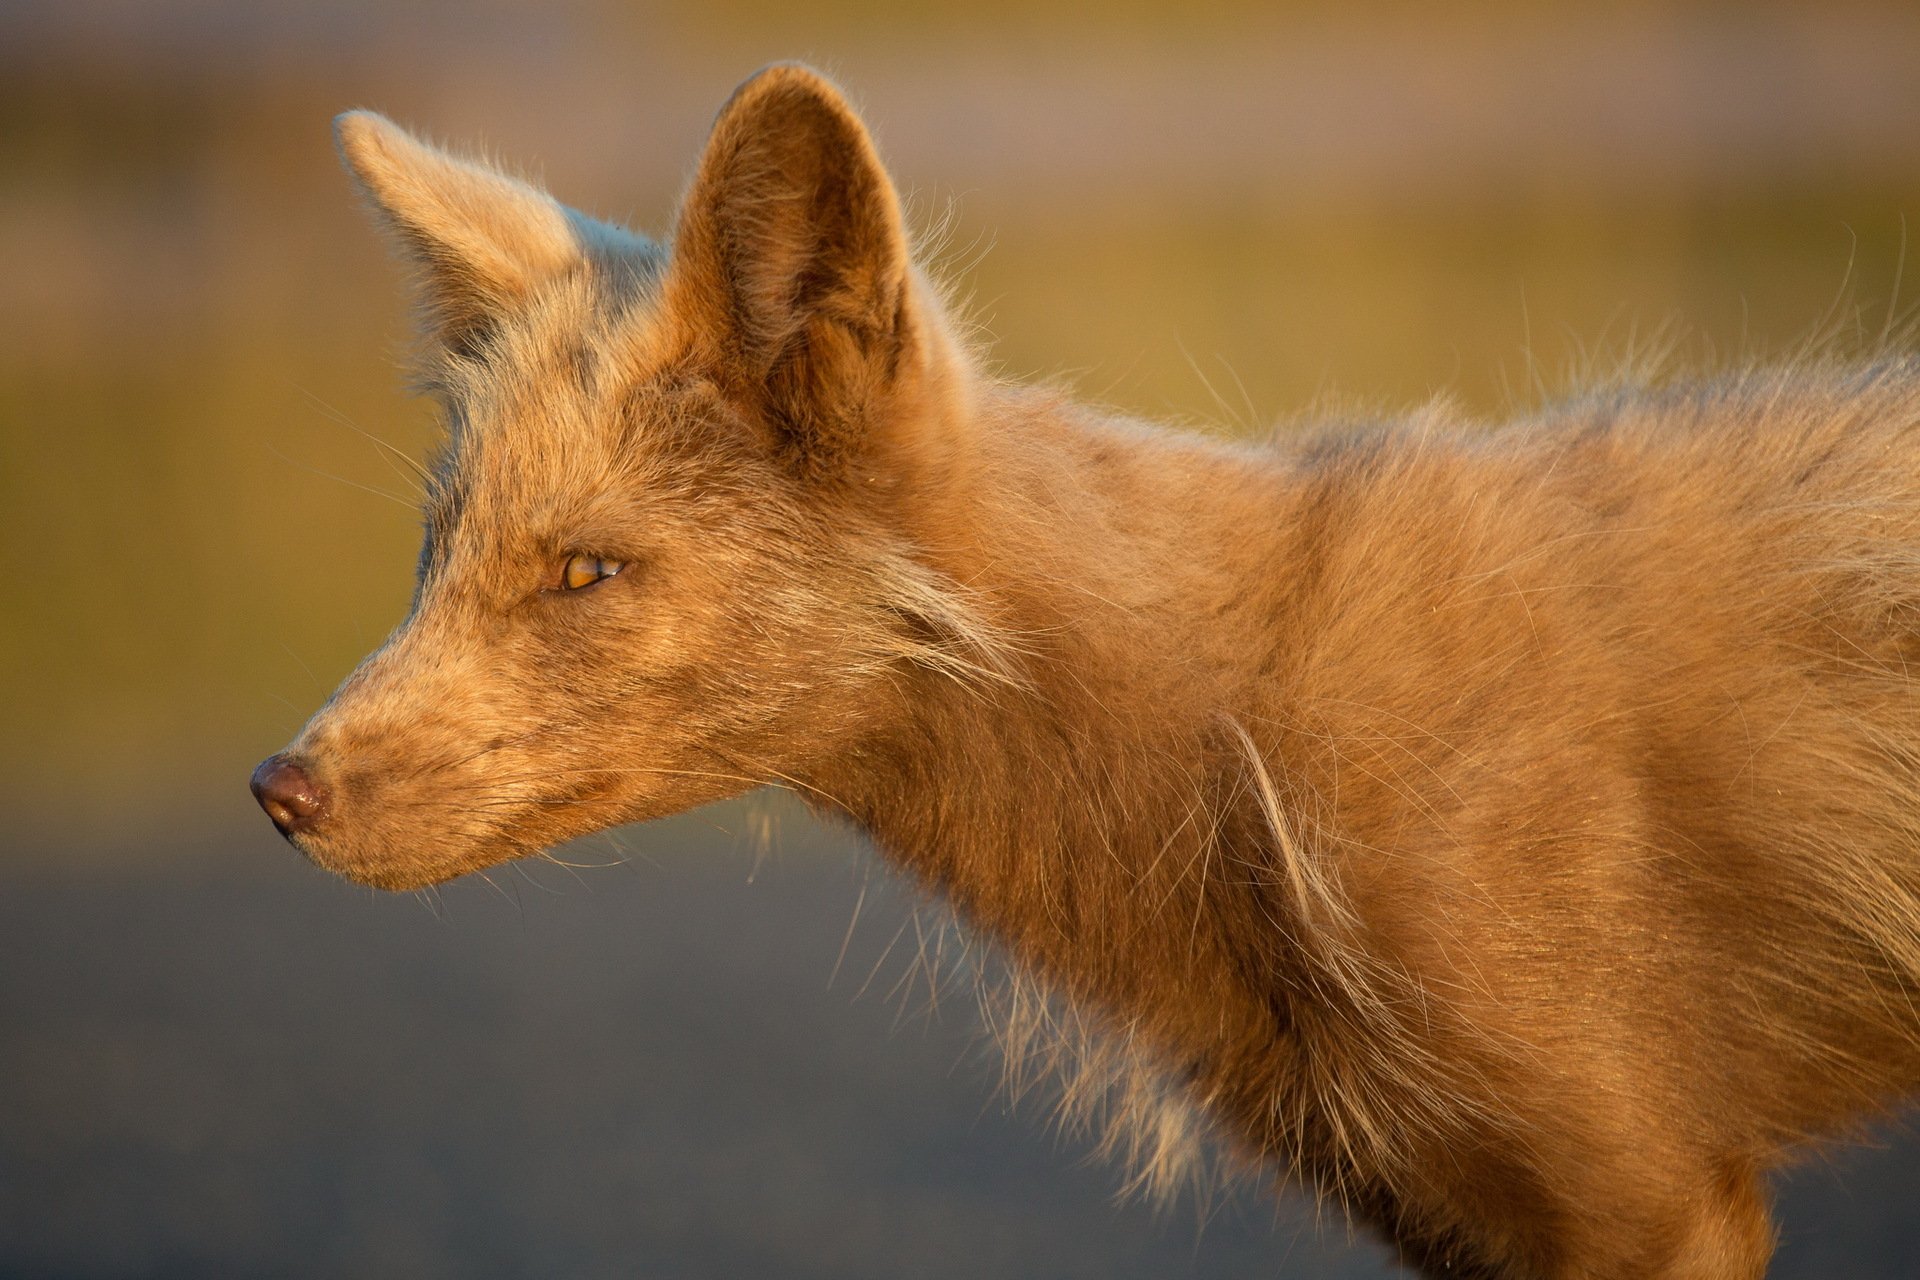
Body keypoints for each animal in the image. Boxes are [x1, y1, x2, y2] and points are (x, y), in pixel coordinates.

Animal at [251, 62, 1920, 1280]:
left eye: (586, 572)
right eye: (435, 551)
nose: (279, 789)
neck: (1250, 776)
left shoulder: (1645, 1198)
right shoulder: (1469, 1209)